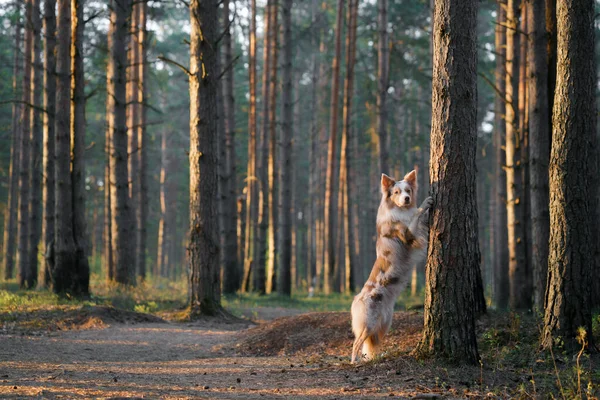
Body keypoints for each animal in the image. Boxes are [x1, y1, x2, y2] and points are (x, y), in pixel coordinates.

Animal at [350, 170, 434, 364]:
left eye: (408, 190)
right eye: (396, 192)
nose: (407, 199)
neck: (400, 211)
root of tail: (357, 298)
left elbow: (420, 220)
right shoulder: (407, 235)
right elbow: (416, 218)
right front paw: (424, 205)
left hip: (384, 323)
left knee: (369, 344)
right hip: (368, 323)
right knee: (356, 343)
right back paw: (354, 361)